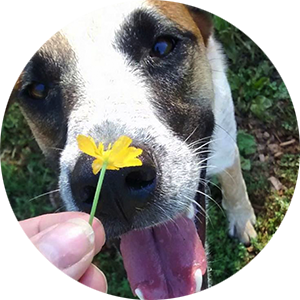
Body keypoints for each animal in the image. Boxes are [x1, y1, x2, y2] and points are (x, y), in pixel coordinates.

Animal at [0, 1, 256, 298]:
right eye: (38, 89)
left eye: (162, 47)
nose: (112, 185)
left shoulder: (224, 145)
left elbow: (234, 179)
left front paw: (242, 217)